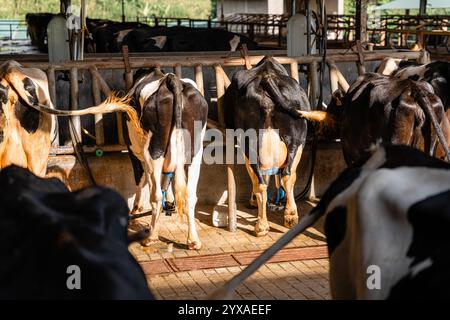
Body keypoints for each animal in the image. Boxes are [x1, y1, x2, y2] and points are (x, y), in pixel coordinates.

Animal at [224, 55, 312, 235]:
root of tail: (267, 78)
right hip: (297, 139)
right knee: (287, 174)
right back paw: (289, 217)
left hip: (250, 144)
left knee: (262, 181)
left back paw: (263, 225)